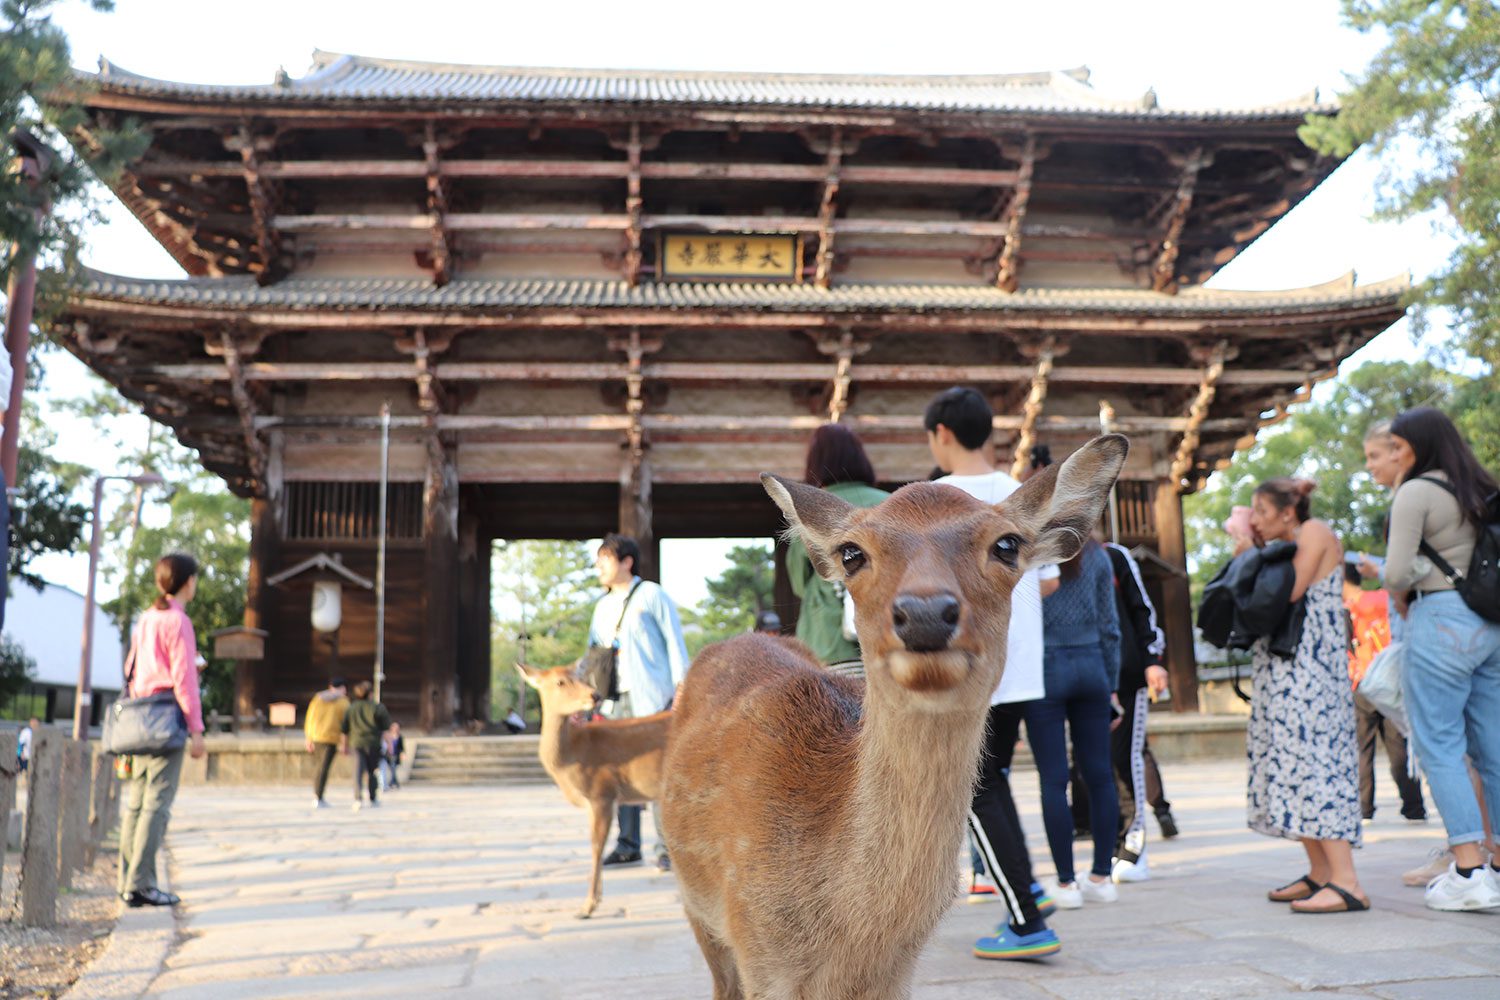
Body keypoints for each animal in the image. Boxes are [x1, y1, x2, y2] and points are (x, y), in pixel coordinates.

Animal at [516, 668, 675, 917]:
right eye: (560, 681)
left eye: (579, 675)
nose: (595, 695)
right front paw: (595, 900)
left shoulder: (602, 792)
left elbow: (595, 846)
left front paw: (587, 907)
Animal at [660, 434, 1128, 1000]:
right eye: (852, 553)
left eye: (1007, 544)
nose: (925, 613)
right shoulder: (759, 953)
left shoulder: (896, 973)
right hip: (699, 912)